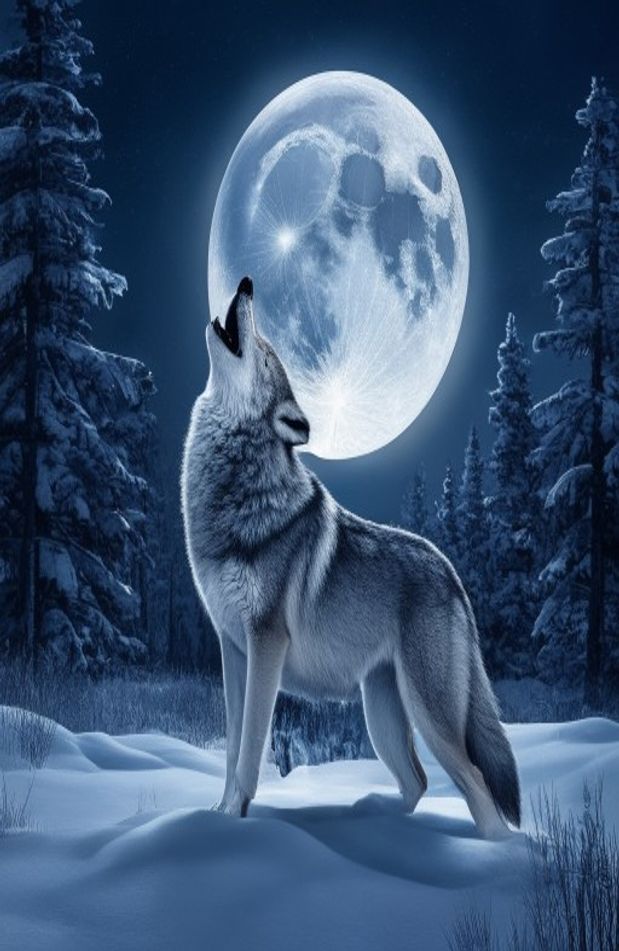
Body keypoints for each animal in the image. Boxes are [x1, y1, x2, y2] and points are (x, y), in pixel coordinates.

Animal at [181, 276, 521, 838]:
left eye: (267, 355)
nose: (246, 283)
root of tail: (453, 574)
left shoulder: (265, 645)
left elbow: (249, 752)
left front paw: (235, 822)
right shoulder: (232, 649)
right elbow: (230, 752)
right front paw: (216, 817)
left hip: (428, 714)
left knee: (477, 788)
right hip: (381, 713)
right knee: (417, 782)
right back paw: (370, 820)